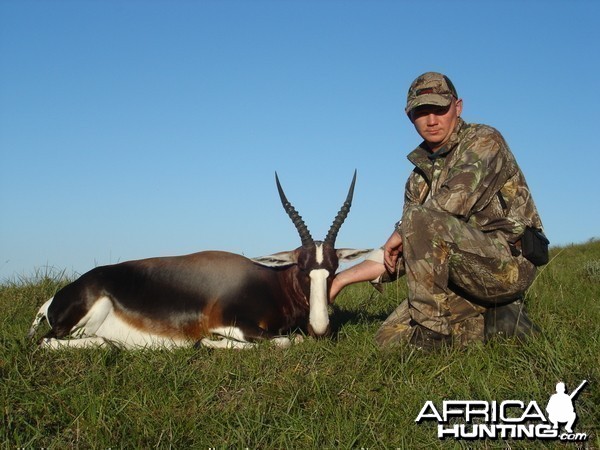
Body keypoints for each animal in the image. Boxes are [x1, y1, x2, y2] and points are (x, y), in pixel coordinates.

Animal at [28, 171, 370, 348]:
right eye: (301, 267)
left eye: (333, 268)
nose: (320, 327)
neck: (268, 282)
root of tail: (56, 298)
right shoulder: (229, 321)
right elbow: (287, 341)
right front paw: (207, 343)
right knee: (60, 342)